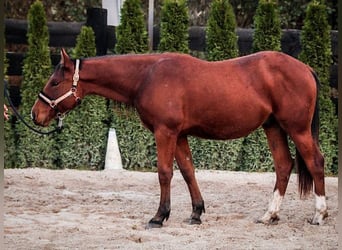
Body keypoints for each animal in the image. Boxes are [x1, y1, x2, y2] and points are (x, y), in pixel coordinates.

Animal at [30, 48, 328, 227]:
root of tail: (306, 69)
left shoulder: (166, 132)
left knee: (315, 162)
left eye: (54, 82)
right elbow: (187, 171)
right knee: (284, 166)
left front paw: (159, 216)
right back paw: (269, 215)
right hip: (273, 127)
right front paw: (196, 212)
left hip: (297, 129)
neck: (147, 76)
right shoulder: (180, 135)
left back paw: (319, 214)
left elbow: (165, 173)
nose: (35, 114)